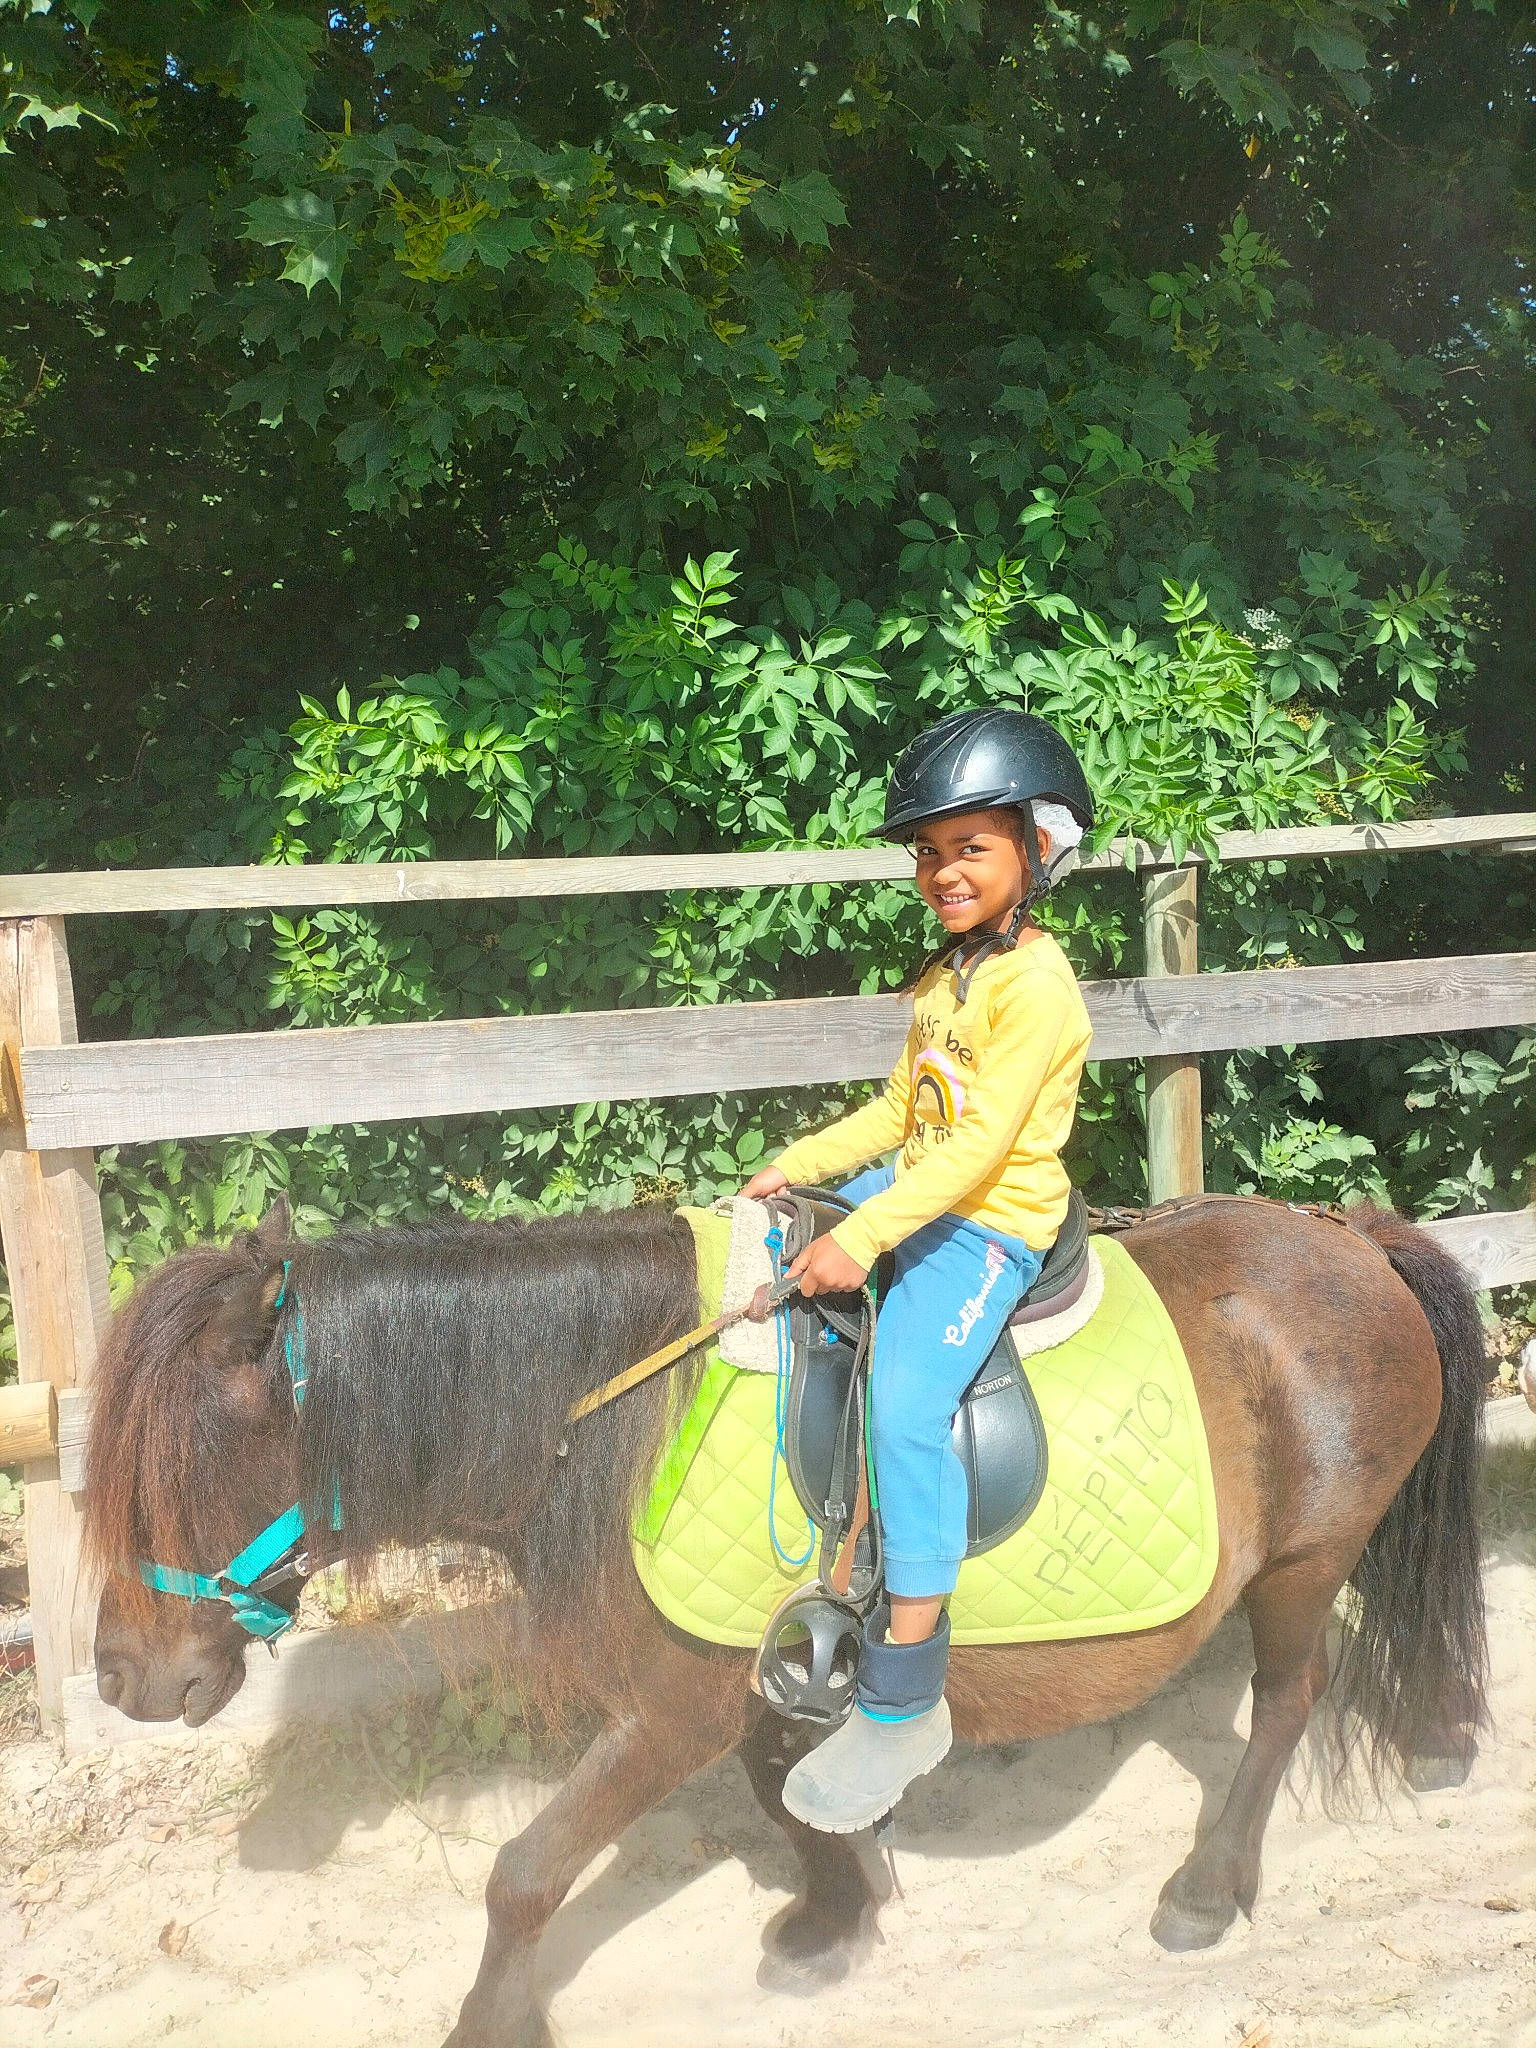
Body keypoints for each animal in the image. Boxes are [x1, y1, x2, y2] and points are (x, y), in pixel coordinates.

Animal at [84, 1191, 1489, 2048]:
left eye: (180, 1467)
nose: (123, 1680)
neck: (612, 1415)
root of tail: (1355, 1237)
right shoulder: (758, 1675)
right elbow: (785, 1791)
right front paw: (837, 1913)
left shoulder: (669, 1711)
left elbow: (524, 1872)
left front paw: (493, 2021)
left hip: (1304, 1559)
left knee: (1291, 1696)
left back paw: (1208, 1885)